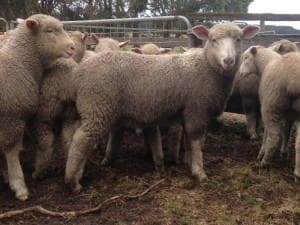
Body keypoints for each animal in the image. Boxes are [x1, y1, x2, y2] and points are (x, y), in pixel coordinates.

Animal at [0, 14, 74, 200]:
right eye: (49, 31)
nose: (72, 47)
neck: (20, 60)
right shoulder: (11, 116)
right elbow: (11, 151)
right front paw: (18, 185)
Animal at [63, 22, 260, 190]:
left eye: (238, 39)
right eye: (213, 40)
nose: (228, 61)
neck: (207, 67)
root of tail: (79, 73)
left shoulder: (188, 111)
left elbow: (189, 141)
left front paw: (188, 162)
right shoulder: (197, 110)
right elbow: (196, 141)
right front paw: (199, 172)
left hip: (98, 108)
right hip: (97, 107)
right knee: (81, 139)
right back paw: (72, 181)